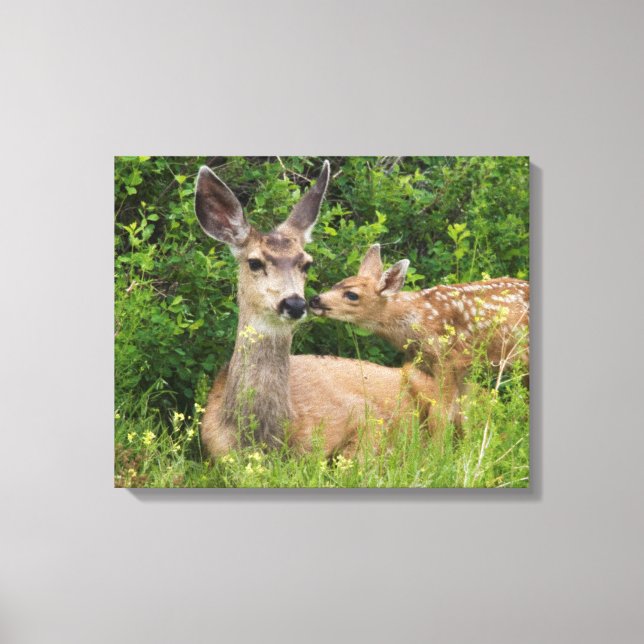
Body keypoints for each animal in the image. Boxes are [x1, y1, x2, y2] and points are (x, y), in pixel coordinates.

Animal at [309, 243, 530, 421]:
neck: (417, 319)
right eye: (336, 284)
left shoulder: (447, 358)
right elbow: (463, 413)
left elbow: (442, 413)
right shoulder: (455, 365)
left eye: (352, 295)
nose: (314, 300)